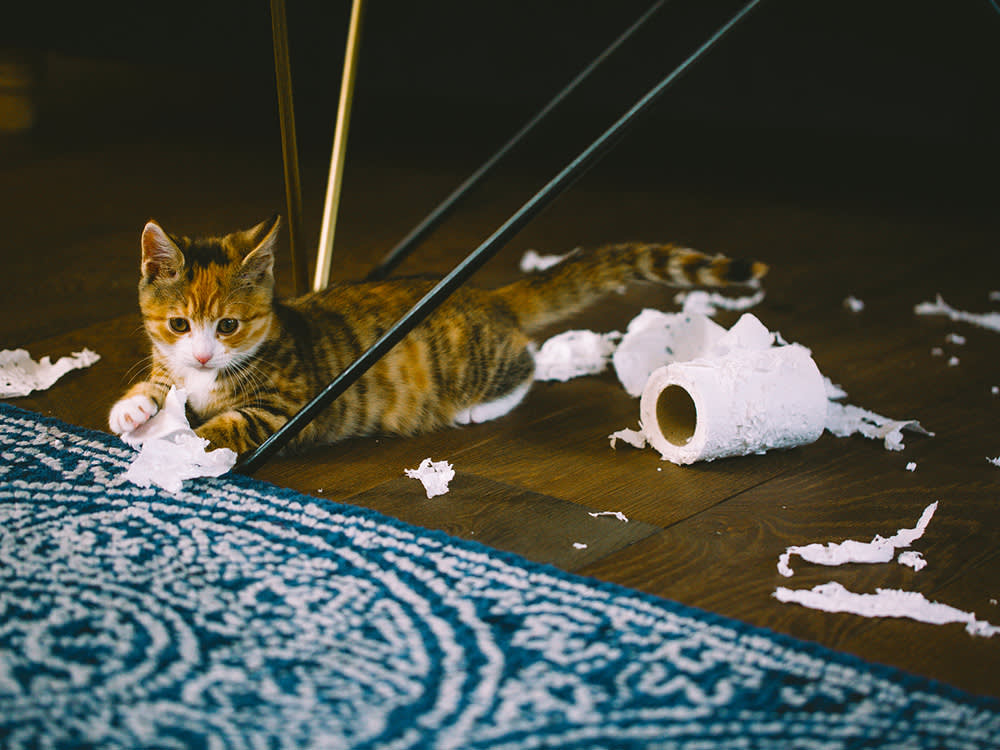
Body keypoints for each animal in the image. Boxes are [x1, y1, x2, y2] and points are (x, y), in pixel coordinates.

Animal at [107, 214, 764, 456]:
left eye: (229, 325)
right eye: (178, 324)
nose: (201, 353)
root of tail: (487, 294)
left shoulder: (282, 408)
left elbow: (225, 425)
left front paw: (176, 445)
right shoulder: (171, 365)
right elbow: (157, 386)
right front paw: (132, 410)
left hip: (476, 360)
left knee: (526, 365)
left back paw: (478, 408)